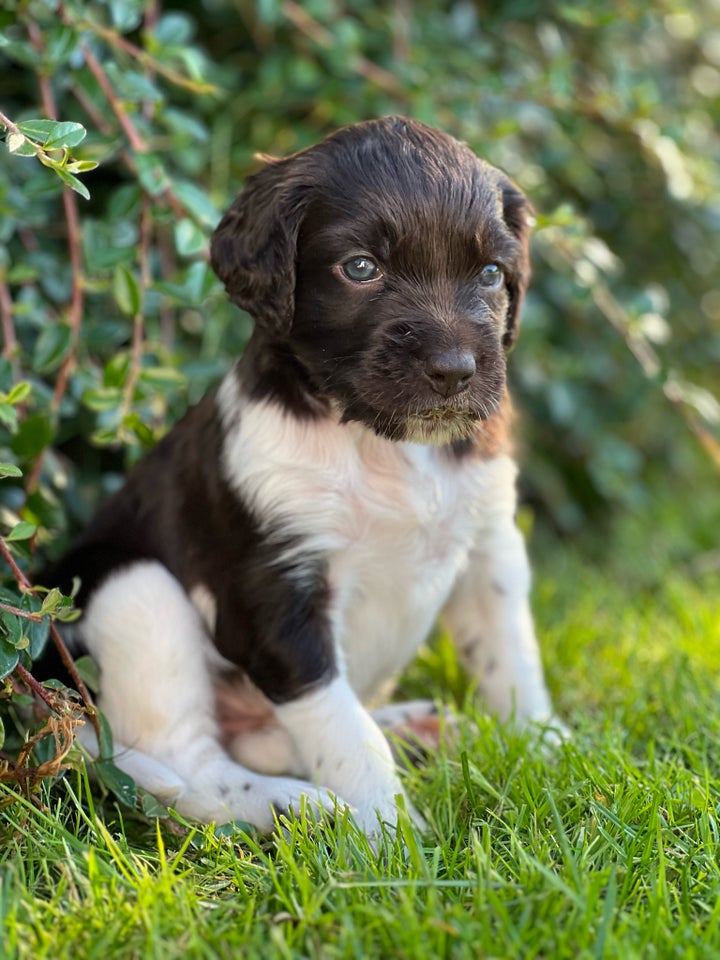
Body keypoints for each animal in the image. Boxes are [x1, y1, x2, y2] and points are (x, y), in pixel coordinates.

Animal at [54, 118, 564, 832]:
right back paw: (298, 805)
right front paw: (393, 837)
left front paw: (553, 749)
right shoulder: (279, 594)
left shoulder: (490, 547)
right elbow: (342, 727)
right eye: (361, 268)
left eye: (492, 273)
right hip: (131, 587)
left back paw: (414, 729)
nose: (455, 371)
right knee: (189, 767)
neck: (383, 443)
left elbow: (512, 662)